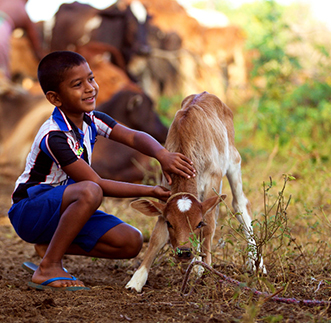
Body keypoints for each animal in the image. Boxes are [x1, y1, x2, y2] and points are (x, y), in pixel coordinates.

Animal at [126, 91, 266, 294]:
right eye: (170, 223)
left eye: (198, 223)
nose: (184, 252)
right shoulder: (166, 190)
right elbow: (156, 237)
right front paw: (136, 280)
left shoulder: (213, 181)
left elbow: (209, 226)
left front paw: (203, 268)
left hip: (233, 160)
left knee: (240, 204)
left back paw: (256, 263)